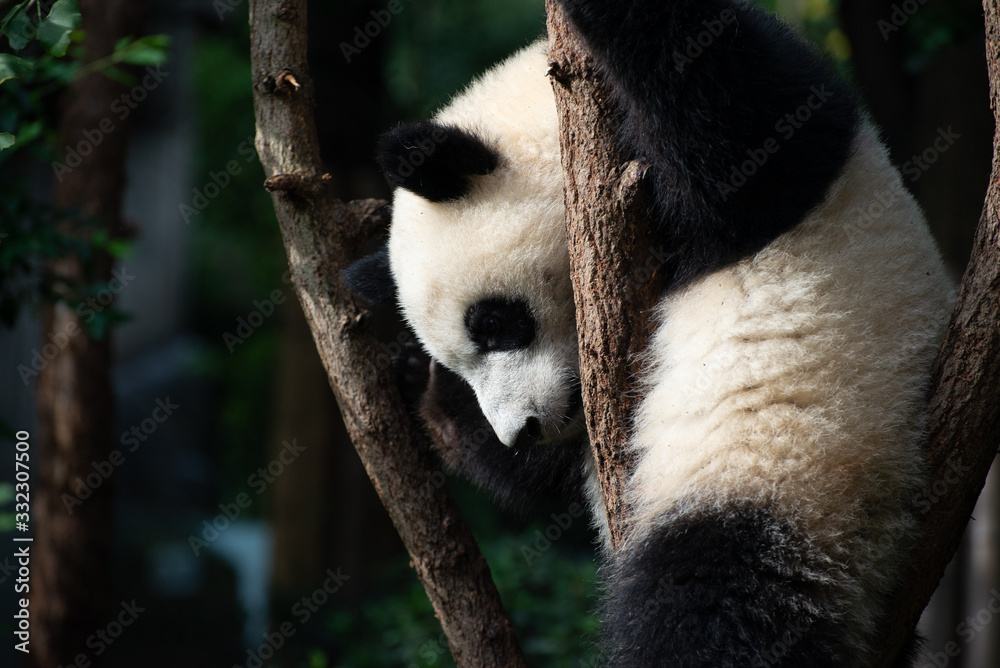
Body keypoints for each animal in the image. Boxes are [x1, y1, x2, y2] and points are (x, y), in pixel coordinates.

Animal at [344, 1, 955, 665]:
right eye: (465, 358)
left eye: (495, 325)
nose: (520, 430)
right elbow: (543, 469)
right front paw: (419, 387)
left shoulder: (771, 145)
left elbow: (730, 115)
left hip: (801, 472)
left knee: (713, 603)